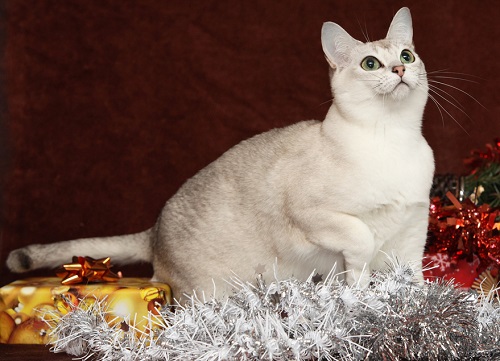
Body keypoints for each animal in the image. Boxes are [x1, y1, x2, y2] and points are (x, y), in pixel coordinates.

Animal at [5, 7, 434, 300]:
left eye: (406, 56)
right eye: (370, 63)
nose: (398, 70)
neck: (394, 139)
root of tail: (153, 232)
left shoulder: (414, 231)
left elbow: (414, 279)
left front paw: (413, 306)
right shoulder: (313, 214)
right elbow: (361, 241)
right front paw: (360, 290)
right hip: (215, 289)